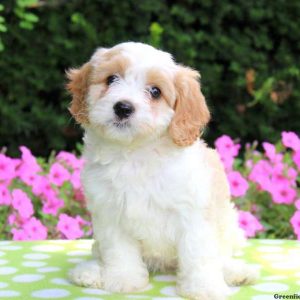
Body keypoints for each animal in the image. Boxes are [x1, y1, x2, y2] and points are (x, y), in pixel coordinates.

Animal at [68, 41, 258, 298]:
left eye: (155, 92)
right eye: (111, 79)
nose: (123, 107)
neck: (136, 153)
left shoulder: (193, 214)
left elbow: (199, 255)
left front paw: (203, 288)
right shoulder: (110, 215)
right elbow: (119, 252)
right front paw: (124, 280)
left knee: (221, 256)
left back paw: (236, 272)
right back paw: (92, 272)